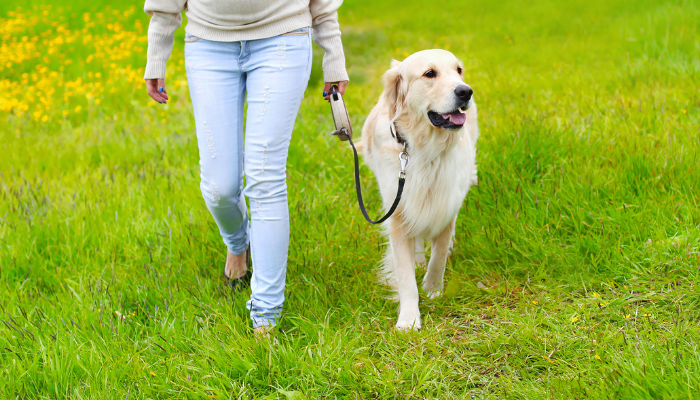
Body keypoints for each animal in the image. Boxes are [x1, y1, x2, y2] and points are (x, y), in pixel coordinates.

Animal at [358, 50, 478, 330]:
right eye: (429, 74)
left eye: (459, 70)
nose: (466, 91)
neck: (426, 151)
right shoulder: (398, 212)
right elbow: (405, 277)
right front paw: (409, 319)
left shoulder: (446, 205)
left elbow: (440, 255)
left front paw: (433, 289)